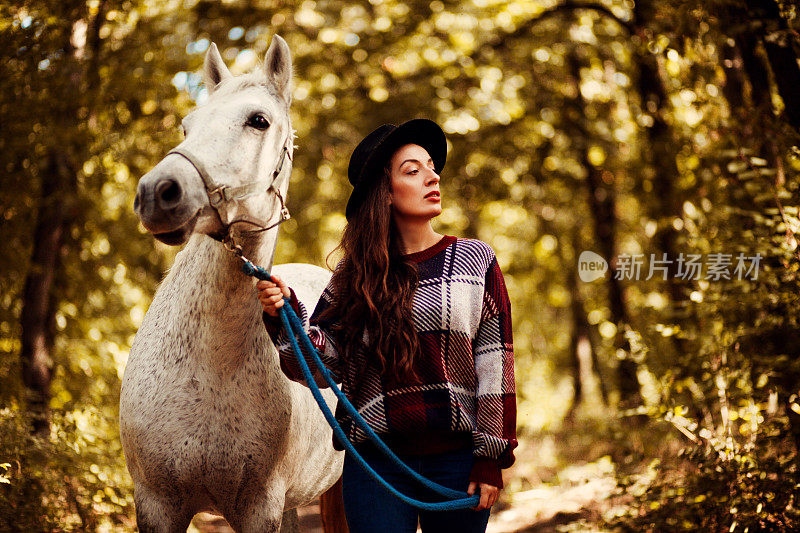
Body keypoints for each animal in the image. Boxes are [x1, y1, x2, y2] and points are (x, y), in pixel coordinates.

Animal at [121, 35, 344, 528]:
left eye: (258, 121)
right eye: (187, 125)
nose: (157, 193)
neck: (208, 370)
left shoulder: (259, 508)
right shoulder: (156, 504)